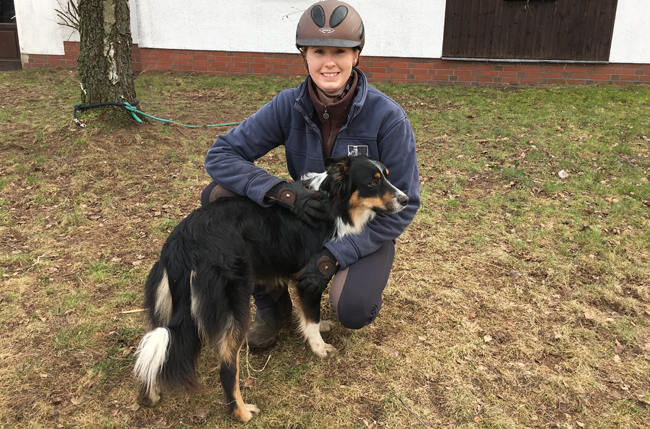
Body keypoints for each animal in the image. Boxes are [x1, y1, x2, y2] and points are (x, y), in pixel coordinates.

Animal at [133, 155, 408, 422]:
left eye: (387, 176)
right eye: (373, 182)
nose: (407, 200)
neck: (333, 201)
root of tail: (182, 245)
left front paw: (321, 329)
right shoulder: (310, 277)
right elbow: (311, 315)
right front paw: (319, 346)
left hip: (168, 305)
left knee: (155, 347)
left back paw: (150, 395)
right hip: (235, 305)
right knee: (227, 368)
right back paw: (242, 413)